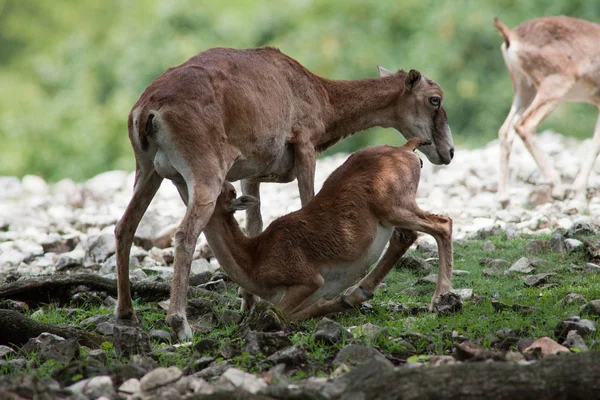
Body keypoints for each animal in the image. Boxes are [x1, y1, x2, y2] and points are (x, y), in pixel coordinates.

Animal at [204, 139, 452, 320]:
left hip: (394, 207)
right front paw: (342, 301)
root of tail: (407, 150)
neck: (253, 257)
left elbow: (275, 314)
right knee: (405, 236)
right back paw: (359, 292)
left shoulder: (307, 279)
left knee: (442, 224)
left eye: (223, 190)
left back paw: (439, 298)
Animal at [494, 16, 600, 206]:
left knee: (505, 130)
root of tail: (511, 36)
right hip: (553, 90)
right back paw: (557, 187)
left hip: (524, 91)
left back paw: (504, 198)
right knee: (524, 125)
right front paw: (578, 194)